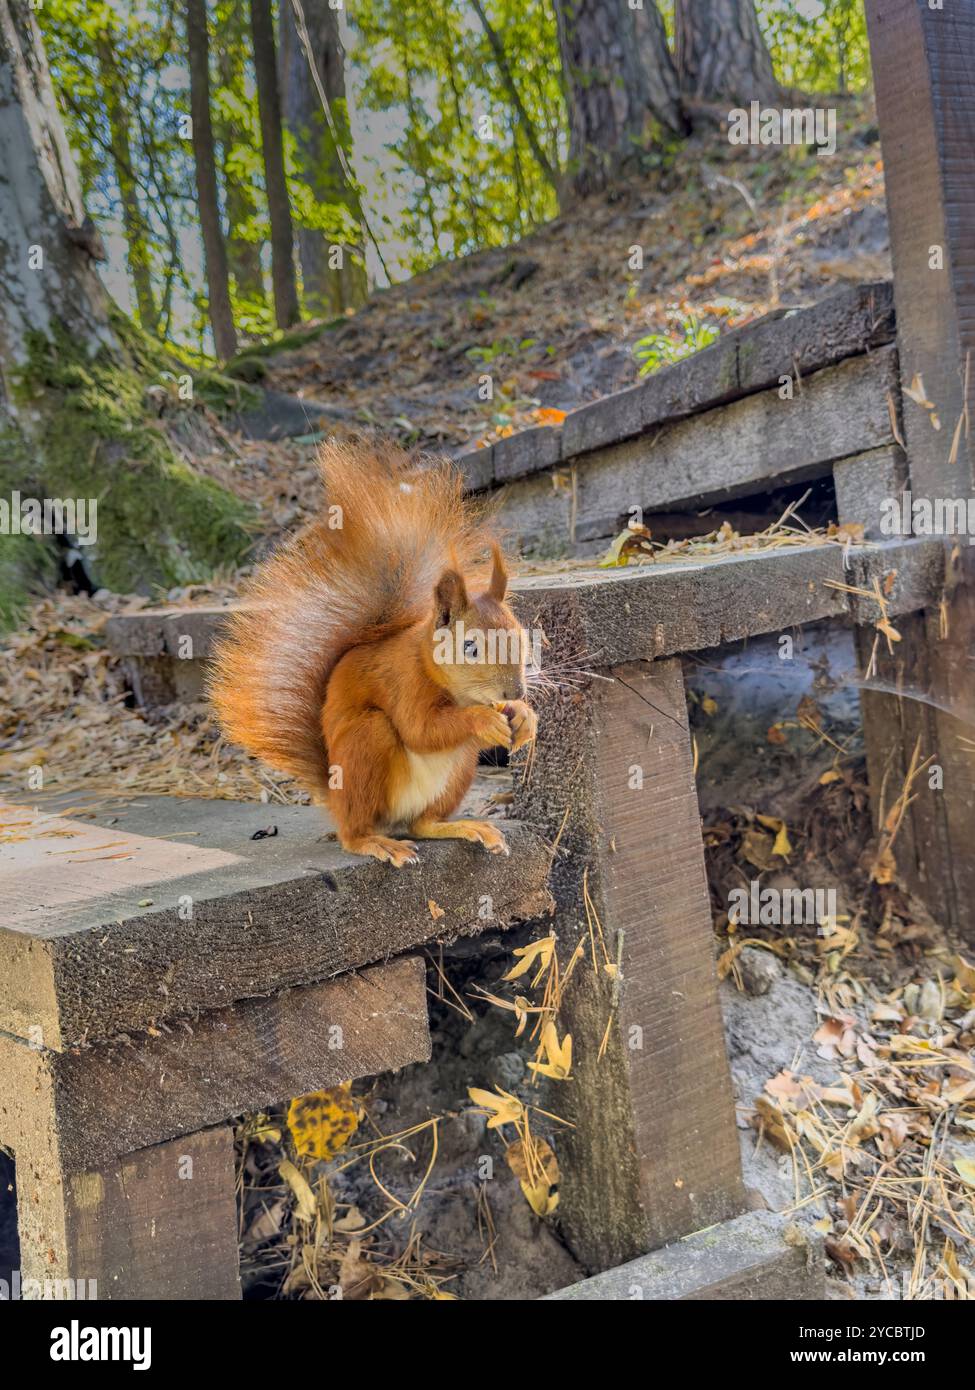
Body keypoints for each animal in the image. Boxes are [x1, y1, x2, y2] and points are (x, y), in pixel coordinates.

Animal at [208, 441, 537, 868]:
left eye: (523, 638)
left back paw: (465, 826)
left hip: (458, 771)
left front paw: (524, 718)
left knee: (422, 824)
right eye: (471, 647)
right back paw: (376, 843)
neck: (441, 676)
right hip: (366, 744)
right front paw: (484, 720)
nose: (515, 692)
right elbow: (420, 729)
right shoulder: (403, 681)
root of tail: (337, 801)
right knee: (356, 829)